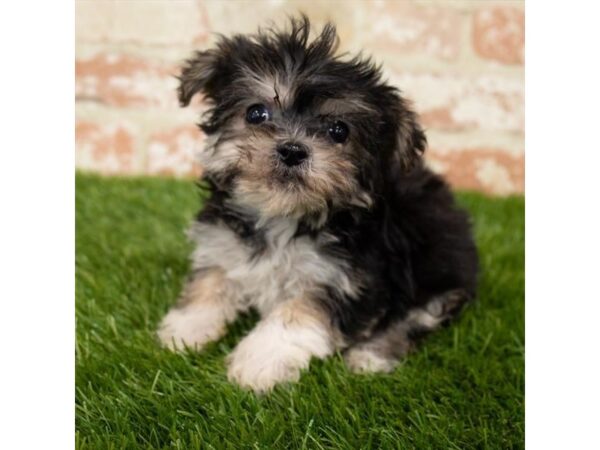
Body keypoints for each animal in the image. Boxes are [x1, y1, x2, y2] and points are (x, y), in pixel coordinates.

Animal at [158, 15, 478, 392]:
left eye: (339, 130)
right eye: (256, 113)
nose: (292, 150)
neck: (283, 215)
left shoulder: (345, 279)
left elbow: (295, 315)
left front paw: (259, 362)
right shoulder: (222, 242)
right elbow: (210, 282)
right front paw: (186, 329)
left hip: (439, 272)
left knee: (417, 316)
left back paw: (371, 355)